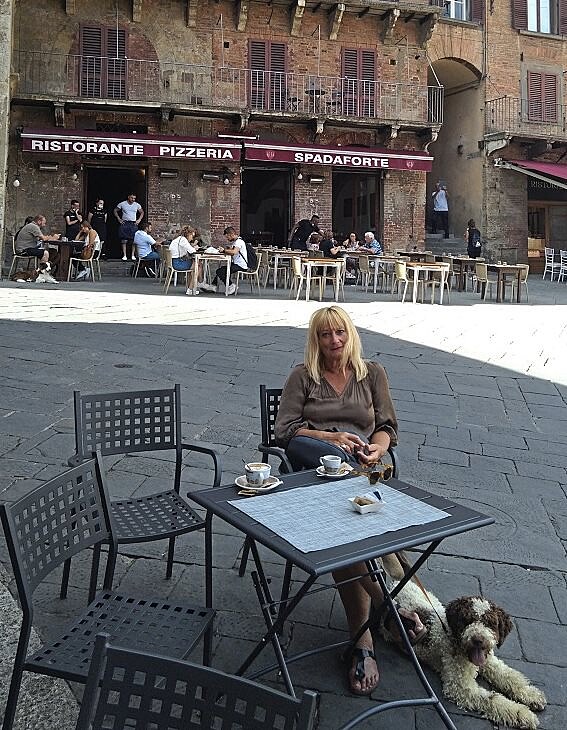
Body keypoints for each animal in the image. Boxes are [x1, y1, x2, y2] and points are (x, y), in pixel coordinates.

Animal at [379, 581, 547, 729]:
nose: (478, 639)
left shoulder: (489, 662)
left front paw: (531, 694)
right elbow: (492, 698)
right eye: (468, 620)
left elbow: (510, 676)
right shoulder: (459, 686)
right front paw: (522, 714)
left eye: (490, 623)